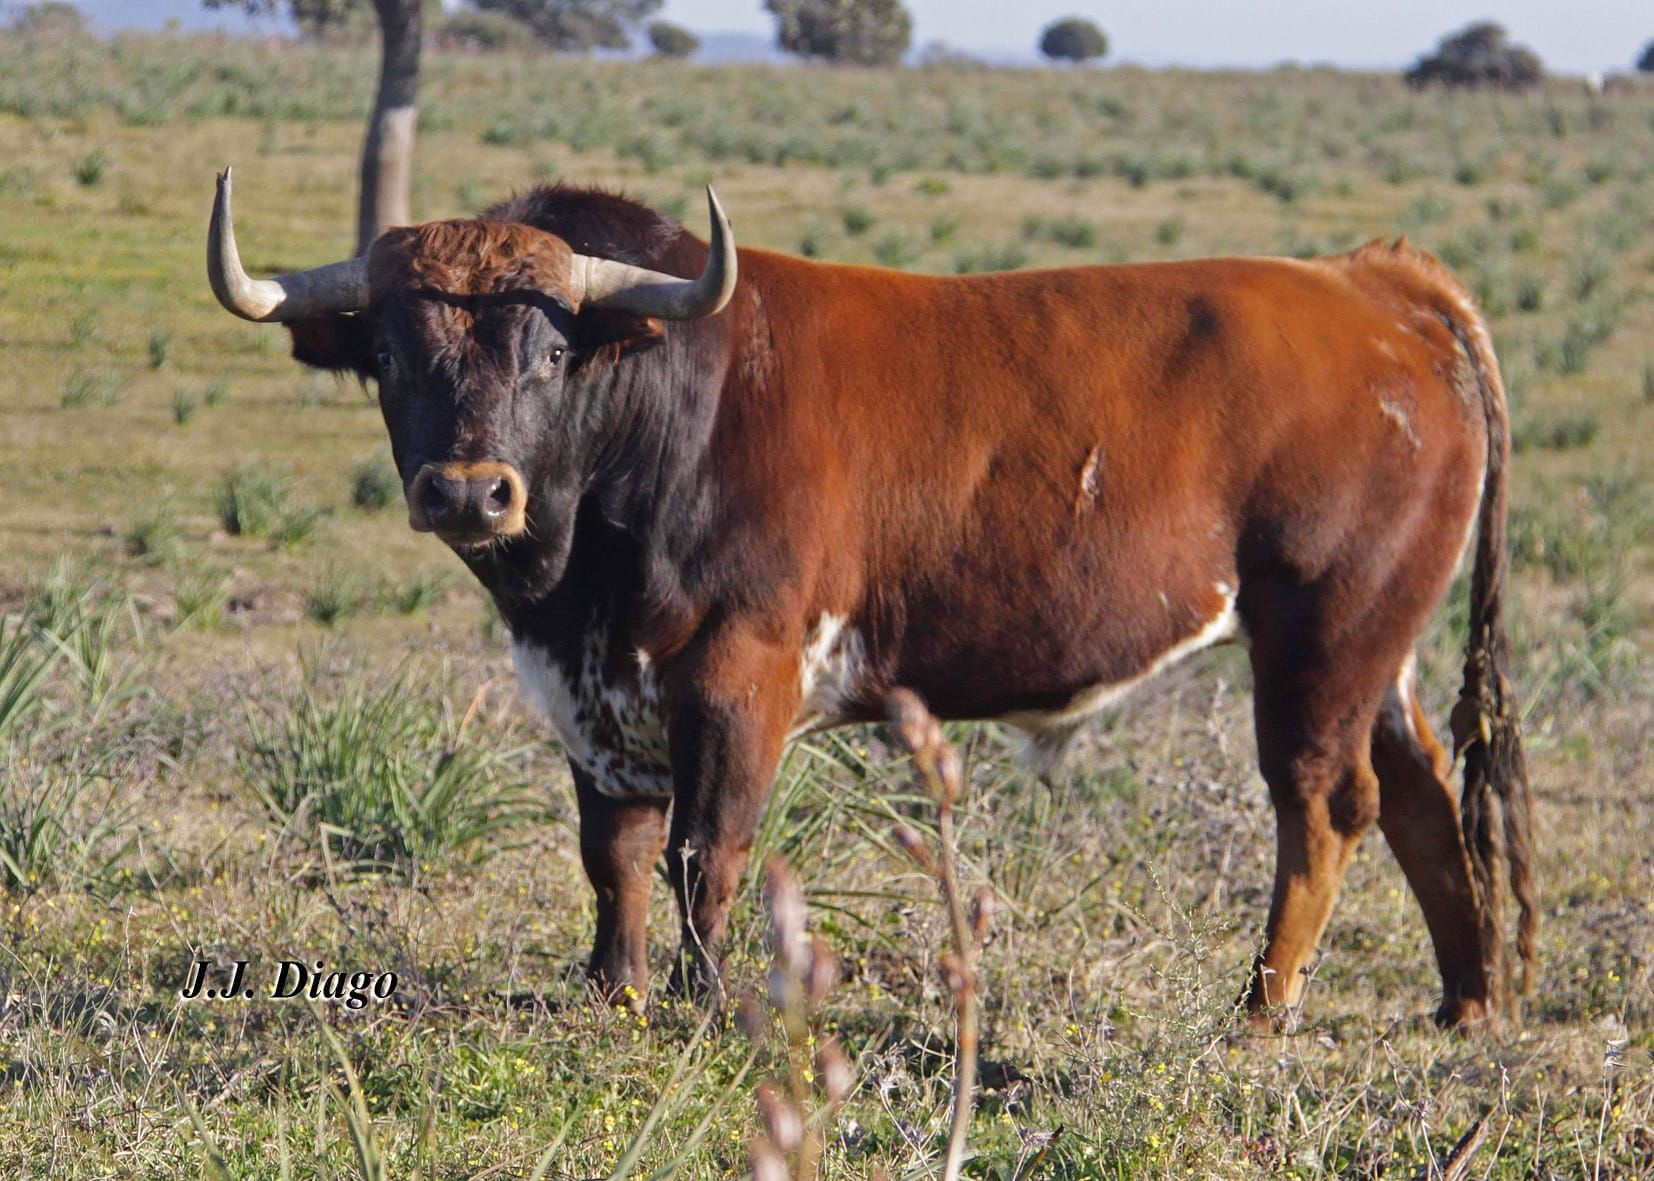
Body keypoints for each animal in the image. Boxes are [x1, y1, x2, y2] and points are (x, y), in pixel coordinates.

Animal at [206, 170, 1534, 1025]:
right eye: (388, 355)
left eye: (545, 351)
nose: (469, 490)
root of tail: (1373, 283)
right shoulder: (587, 687)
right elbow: (613, 849)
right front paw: (612, 989)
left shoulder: (740, 672)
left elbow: (706, 848)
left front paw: (702, 1002)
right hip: (1376, 647)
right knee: (1422, 794)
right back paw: (1465, 1004)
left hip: (1322, 631)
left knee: (1324, 805)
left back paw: (1257, 1011)